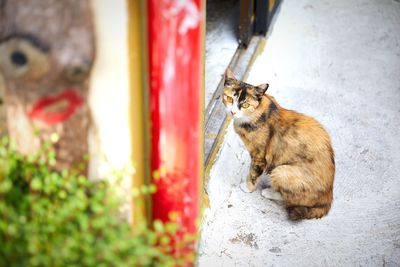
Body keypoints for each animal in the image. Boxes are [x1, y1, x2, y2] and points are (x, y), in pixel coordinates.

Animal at [222, 68, 334, 220]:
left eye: (245, 105)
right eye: (229, 99)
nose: (233, 112)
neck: (257, 112)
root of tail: (328, 198)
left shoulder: (259, 156)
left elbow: (253, 173)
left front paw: (248, 188)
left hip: (281, 171)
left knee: (292, 199)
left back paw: (269, 192)